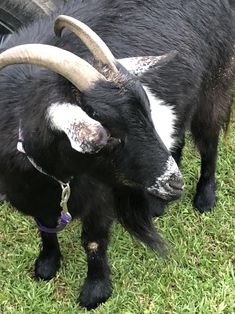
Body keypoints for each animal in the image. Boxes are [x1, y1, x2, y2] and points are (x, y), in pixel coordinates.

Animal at [0, 0, 234, 310]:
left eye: (146, 110)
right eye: (109, 134)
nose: (174, 183)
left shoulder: (100, 195)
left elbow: (93, 239)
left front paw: (95, 291)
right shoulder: (30, 194)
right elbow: (46, 227)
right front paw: (47, 265)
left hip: (216, 85)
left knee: (209, 141)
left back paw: (205, 197)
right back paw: (158, 205)